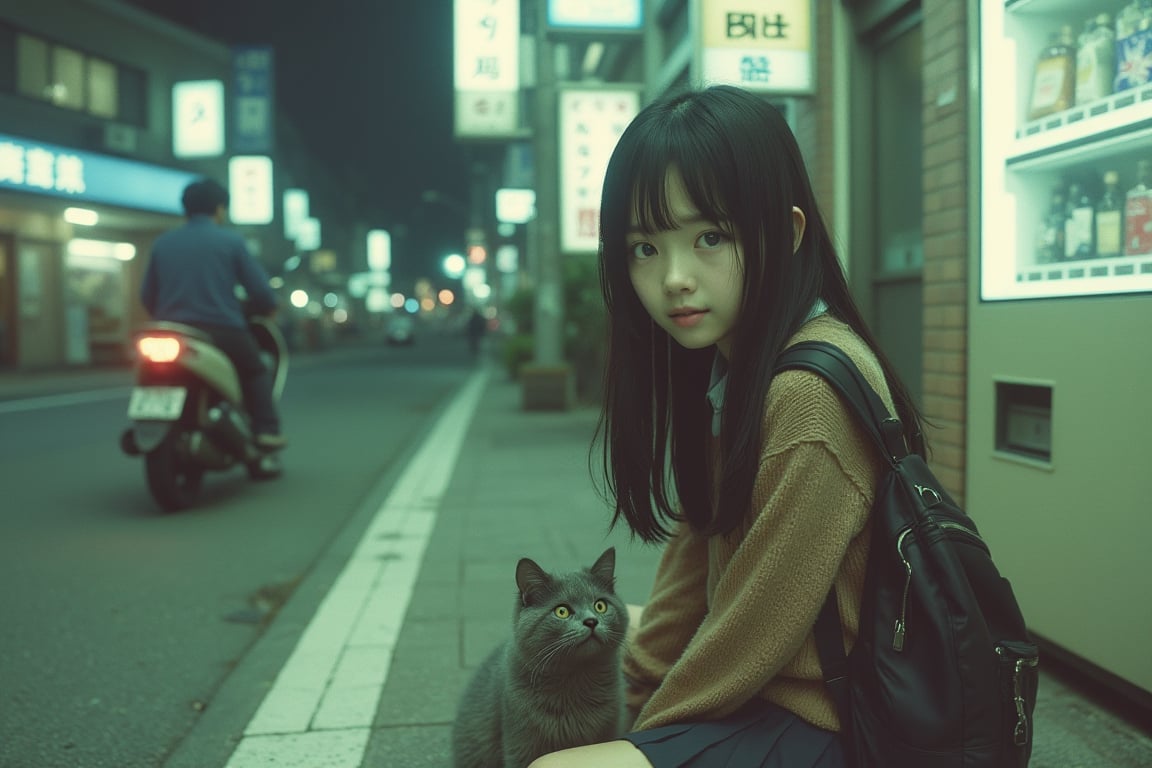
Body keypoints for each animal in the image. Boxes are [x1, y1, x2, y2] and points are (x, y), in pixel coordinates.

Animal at [451, 545, 631, 768]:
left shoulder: (610, 728)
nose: (591, 621)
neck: (575, 680)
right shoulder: (521, 743)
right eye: (562, 611)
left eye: (600, 605)